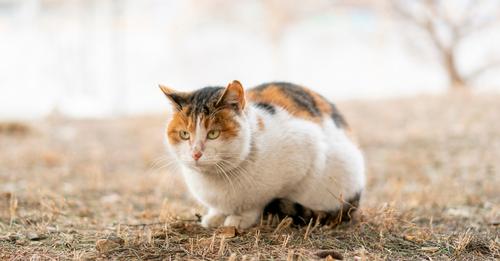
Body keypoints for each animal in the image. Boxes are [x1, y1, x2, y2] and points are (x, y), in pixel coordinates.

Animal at [159, 80, 364, 228]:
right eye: (184, 134)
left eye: (213, 134)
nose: (195, 153)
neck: (215, 178)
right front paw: (216, 216)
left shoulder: (309, 151)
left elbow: (258, 202)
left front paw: (240, 218)